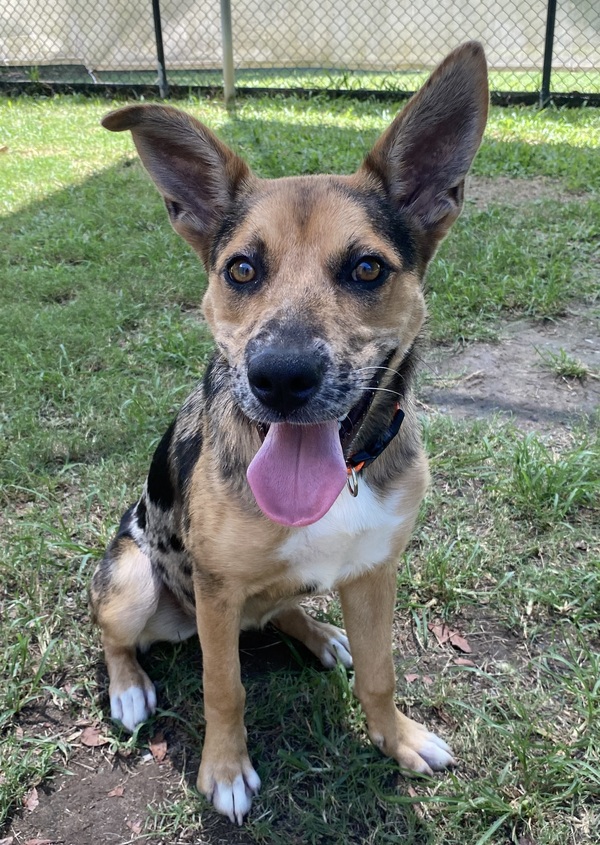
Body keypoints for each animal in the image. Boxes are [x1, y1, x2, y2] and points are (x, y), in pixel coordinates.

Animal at [90, 42, 488, 825]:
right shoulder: (215, 592)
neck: (346, 475)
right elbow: (224, 687)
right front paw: (224, 770)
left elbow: (380, 672)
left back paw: (319, 634)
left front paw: (397, 736)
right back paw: (128, 688)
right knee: (114, 633)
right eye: (241, 268)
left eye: (367, 267)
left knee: (279, 612)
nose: (279, 376)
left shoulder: (374, 570)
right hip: (134, 580)